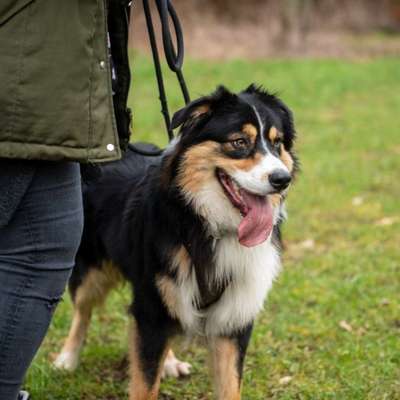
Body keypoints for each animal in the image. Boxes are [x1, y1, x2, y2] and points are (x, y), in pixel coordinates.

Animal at [54, 85, 296, 400]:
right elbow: (145, 384)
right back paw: (67, 358)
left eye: (277, 143)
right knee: (82, 310)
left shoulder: (234, 314)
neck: (209, 225)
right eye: (239, 142)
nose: (282, 179)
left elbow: (230, 386)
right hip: (93, 270)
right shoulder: (152, 307)